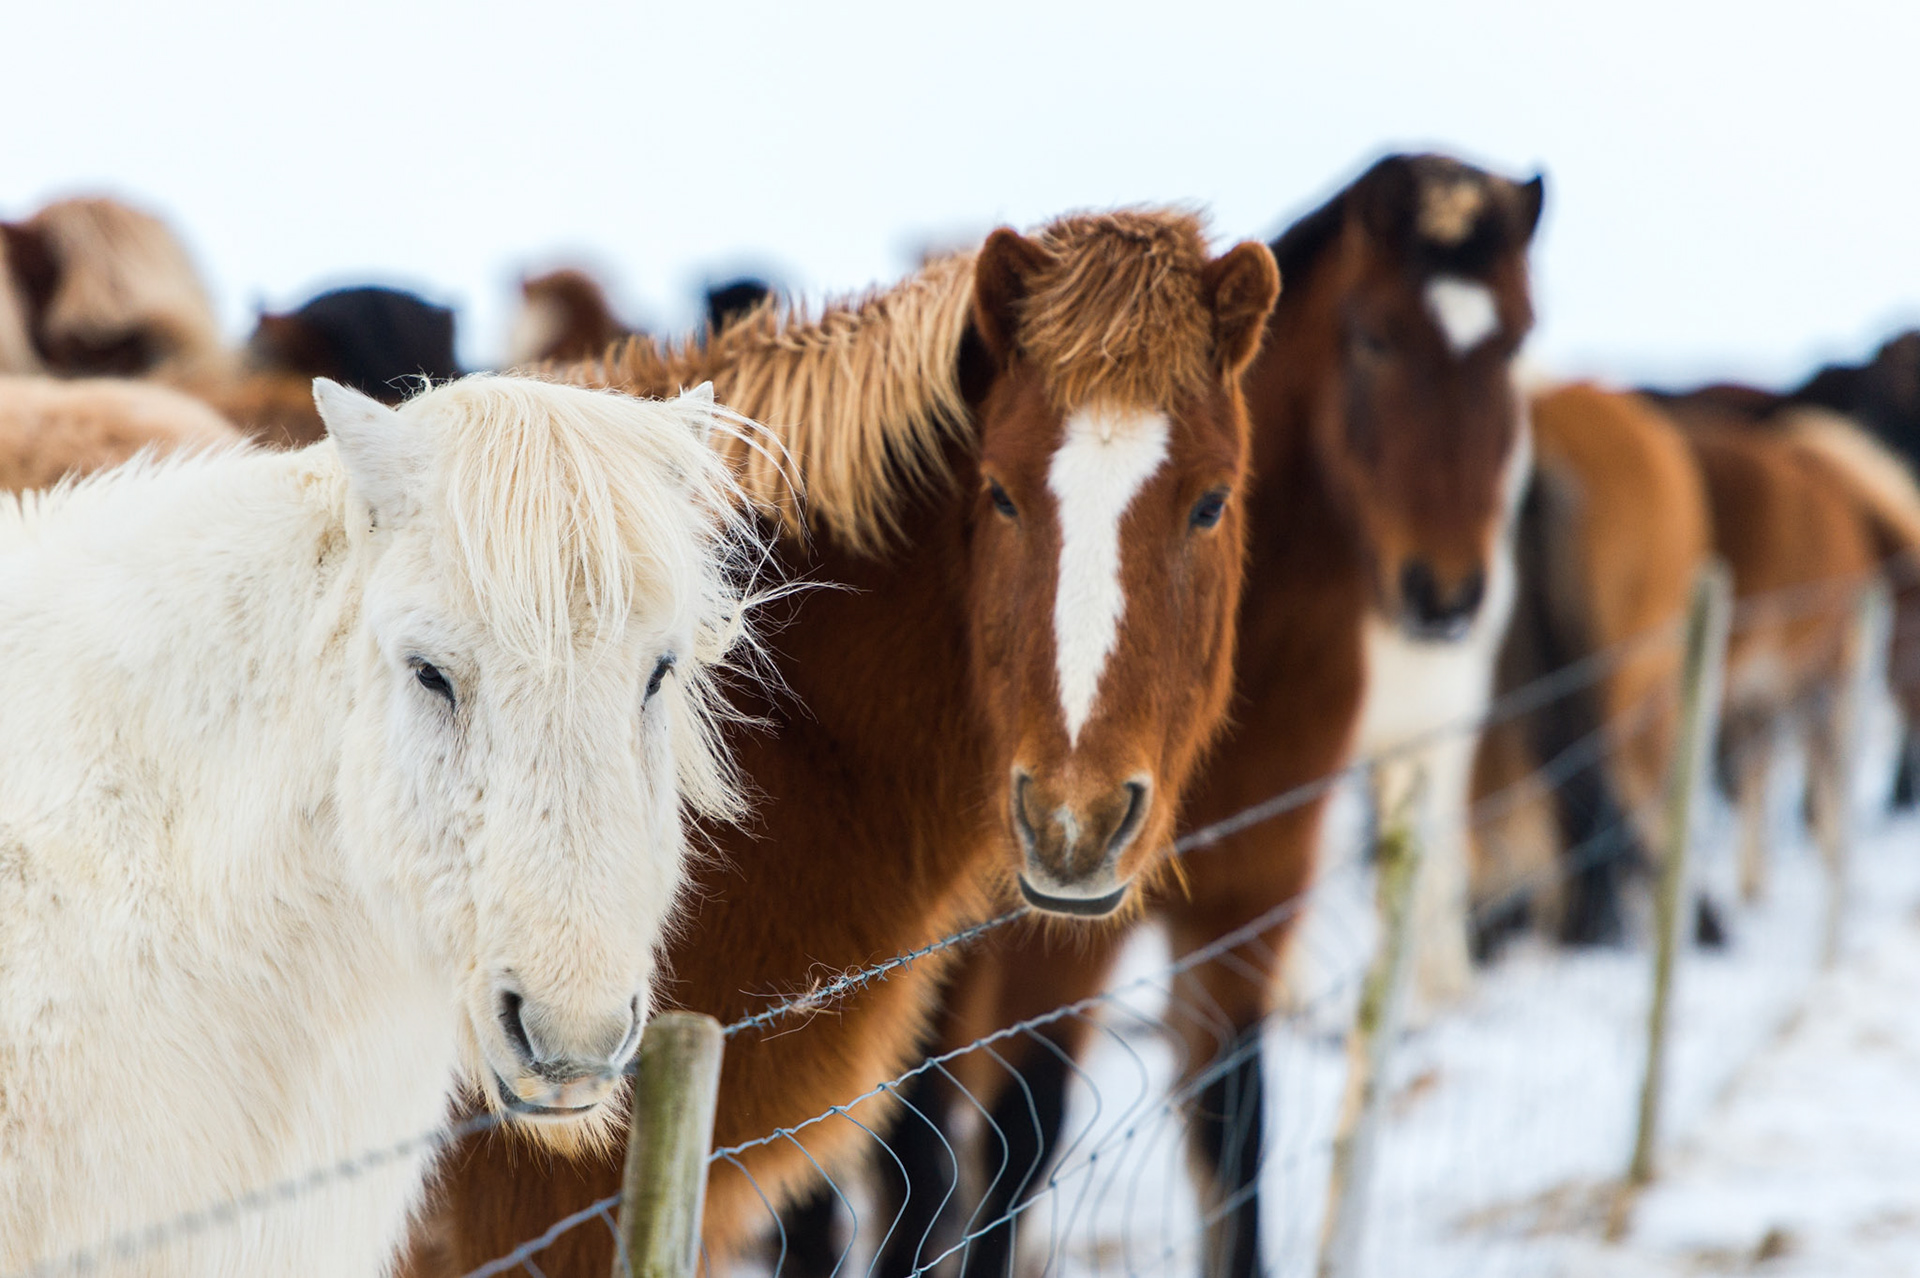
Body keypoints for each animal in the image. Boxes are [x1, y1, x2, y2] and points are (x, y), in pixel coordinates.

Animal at [806, 154, 1544, 1278]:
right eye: (1375, 336)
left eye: (1514, 340)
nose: (1447, 593)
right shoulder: (1046, 945)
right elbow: (1017, 1146)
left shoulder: (1249, 906)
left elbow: (1235, 1137)